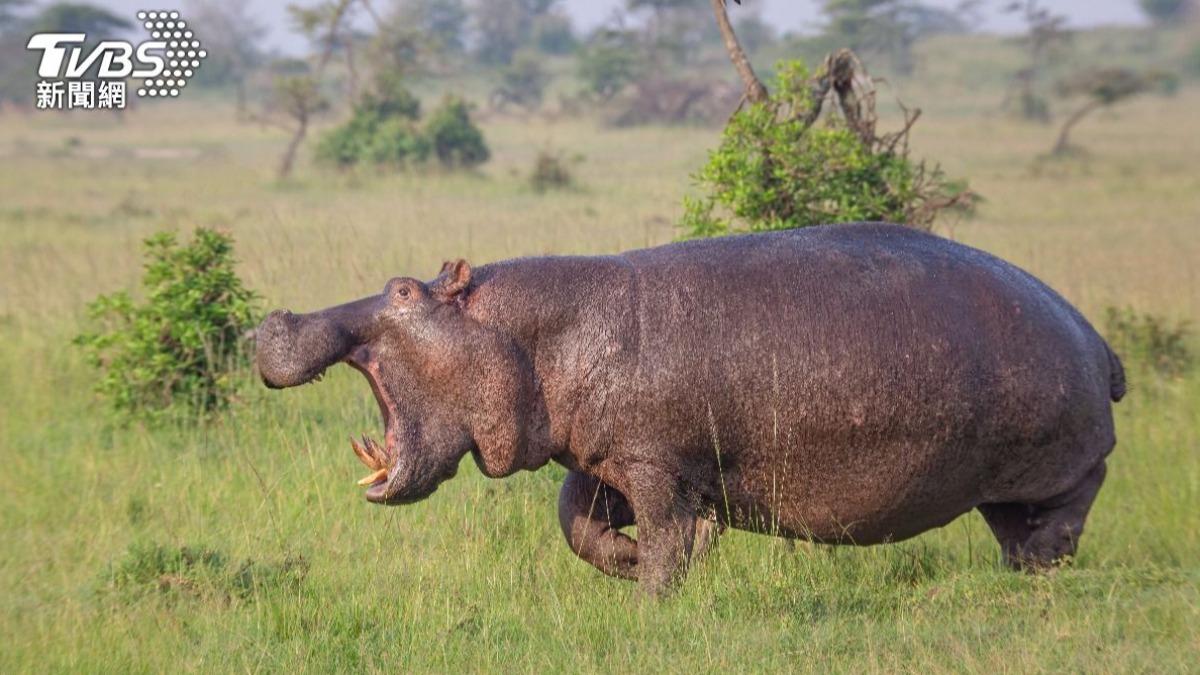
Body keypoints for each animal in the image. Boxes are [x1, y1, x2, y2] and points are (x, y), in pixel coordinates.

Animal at [255, 223, 1123, 590]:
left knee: (1068, 517)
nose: (276, 320)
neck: (527, 330)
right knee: (1015, 526)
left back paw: (1040, 572)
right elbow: (575, 521)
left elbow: (669, 535)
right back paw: (1015, 574)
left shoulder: (655, 463)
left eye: (404, 290)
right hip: (1003, 484)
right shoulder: (605, 454)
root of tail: (1093, 332)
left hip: (1063, 464)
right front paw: (633, 560)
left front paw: (655, 590)